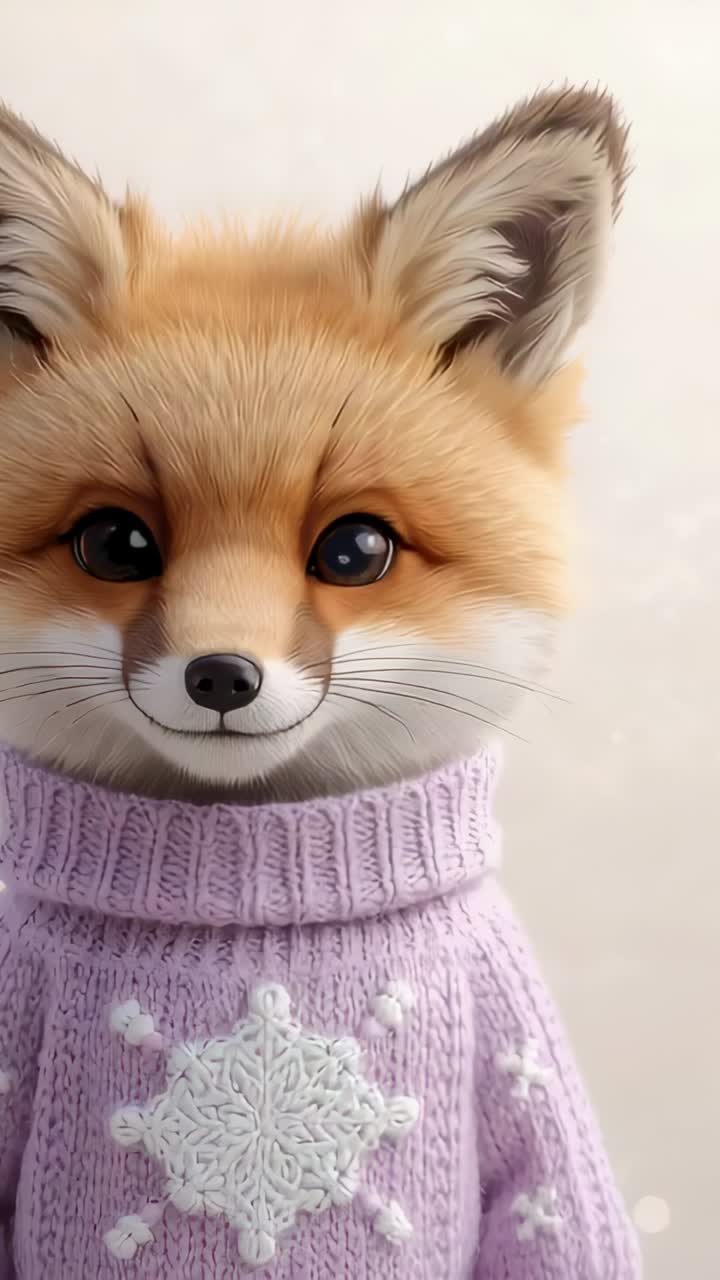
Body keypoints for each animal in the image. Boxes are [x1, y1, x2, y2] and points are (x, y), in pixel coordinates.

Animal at [0, 89, 641, 1279]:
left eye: (355, 550)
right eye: (115, 542)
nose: (222, 673)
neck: (255, 908)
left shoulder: (514, 1032)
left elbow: (556, 1204)